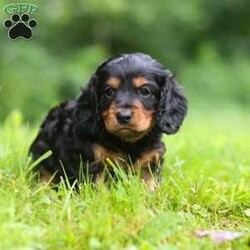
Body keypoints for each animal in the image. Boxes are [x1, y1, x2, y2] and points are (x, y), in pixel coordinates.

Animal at [29, 52, 188, 189]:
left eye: (144, 91)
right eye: (109, 91)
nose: (123, 116)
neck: (127, 143)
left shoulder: (149, 163)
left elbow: (150, 187)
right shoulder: (95, 164)